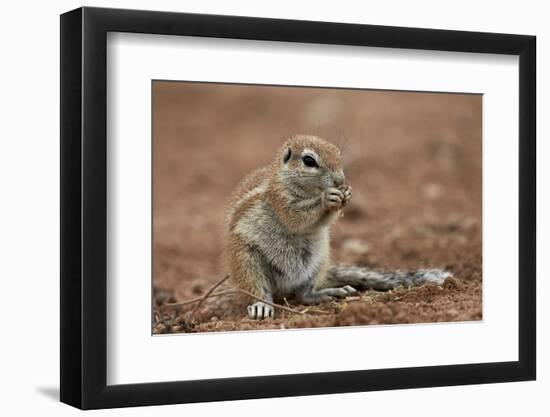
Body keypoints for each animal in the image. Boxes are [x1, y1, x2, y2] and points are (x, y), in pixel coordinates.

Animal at [224, 133, 452, 318]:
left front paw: (346, 194)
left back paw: (326, 293)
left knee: (303, 295)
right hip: (247, 261)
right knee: (258, 289)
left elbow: (322, 221)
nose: (340, 180)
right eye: (309, 160)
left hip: (318, 260)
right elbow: (295, 217)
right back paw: (261, 306)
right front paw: (326, 198)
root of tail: (283, 288)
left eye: (338, 153)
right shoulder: (279, 198)